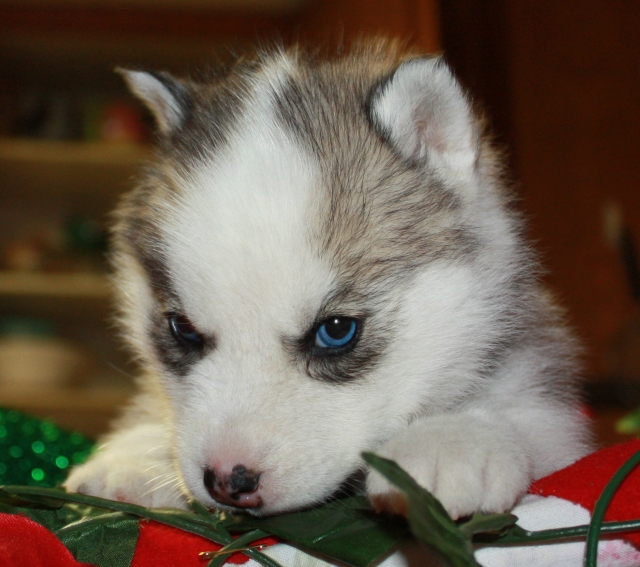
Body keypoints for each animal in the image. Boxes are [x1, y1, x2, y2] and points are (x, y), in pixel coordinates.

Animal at [64, 40, 591, 520]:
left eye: (336, 330)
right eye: (183, 329)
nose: (229, 481)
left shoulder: (545, 401)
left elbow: (524, 413)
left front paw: (449, 438)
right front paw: (137, 450)